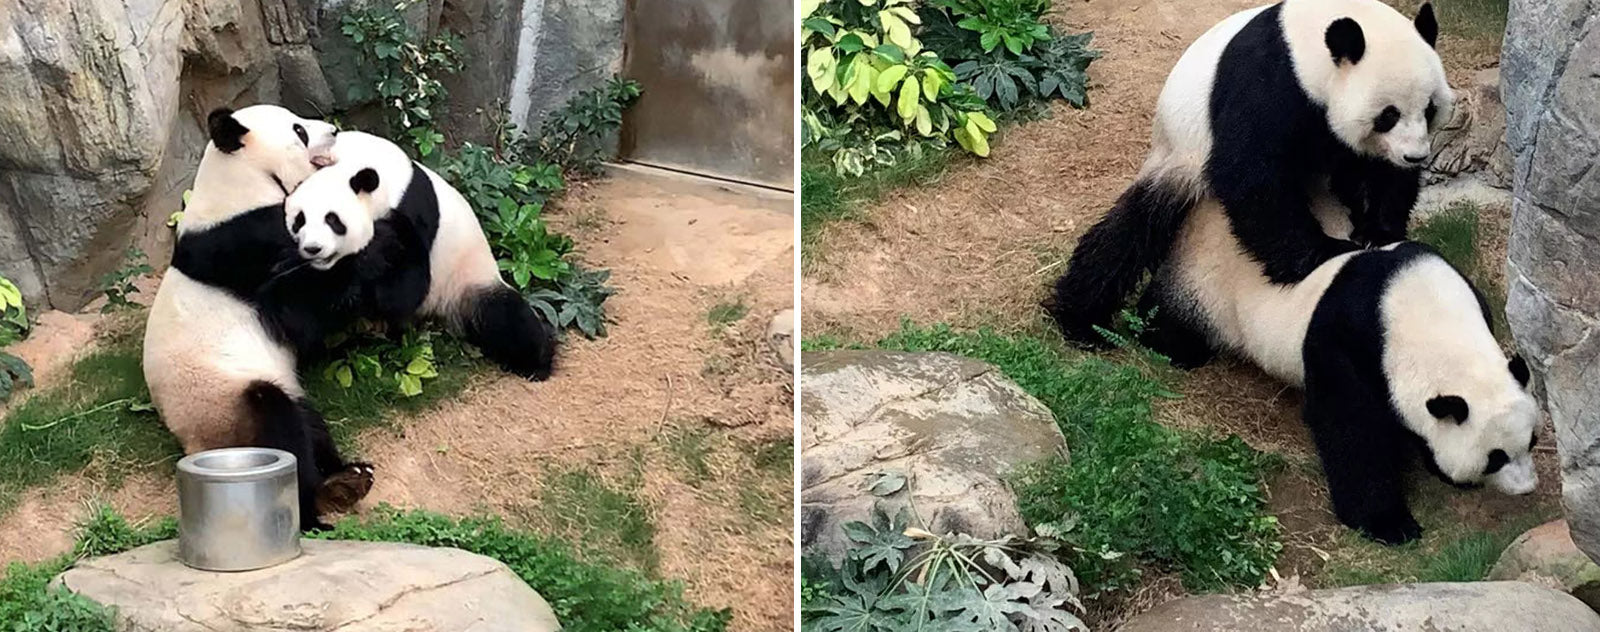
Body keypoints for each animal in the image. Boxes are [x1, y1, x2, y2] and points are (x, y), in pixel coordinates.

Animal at [140, 106, 371, 531]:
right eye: (299, 131)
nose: (334, 130)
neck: (242, 181)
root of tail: (193, 445)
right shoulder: (244, 245)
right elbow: (299, 310)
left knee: (309, 423)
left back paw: (347, 478)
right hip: (225, 403)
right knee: (279, 425)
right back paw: (312, 508)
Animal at [281, 128, 563, 376]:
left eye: (333, 220)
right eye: (299, 220)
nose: (313, 249)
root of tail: (438, 313)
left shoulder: (412, 210)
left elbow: (405, 288)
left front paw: (369, 260)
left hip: (466, 279)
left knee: (505, 317)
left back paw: (537, 363)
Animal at [1049, 0, 1452, 347]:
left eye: (1430, 109)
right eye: (1389, 115)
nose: (1415, 156)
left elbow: (1379, 173)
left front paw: (1377, 232)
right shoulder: (1269, 81)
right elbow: (1250, 172)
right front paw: (1323, 252)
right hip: (1179, 154)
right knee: (1131, 232)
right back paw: (1081, 320)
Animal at [1139, 195, 1536, 547]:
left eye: (1531, 441)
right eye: (1495, 458)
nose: (1526, 488)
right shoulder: (1347, 341)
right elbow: (1349, 427)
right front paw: (1389, 524)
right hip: (1207, 284)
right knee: (1173, 317)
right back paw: (1165, 344)